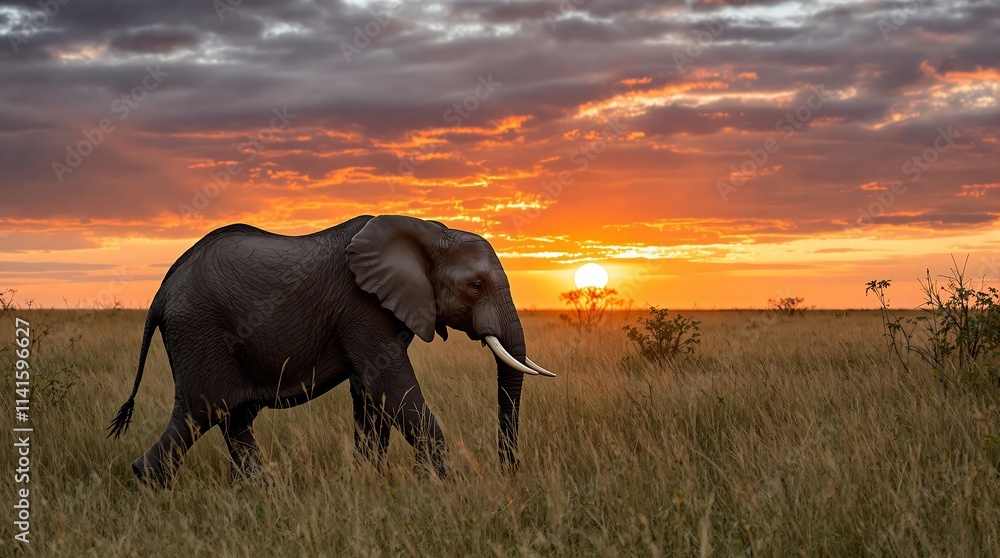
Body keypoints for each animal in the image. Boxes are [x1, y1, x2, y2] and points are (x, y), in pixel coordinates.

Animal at [107, 214, 554, 487]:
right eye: (476, 286)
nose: (508, 472)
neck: (426, 231)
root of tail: (161, 292)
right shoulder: (361, 307)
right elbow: (391, 386)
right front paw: (437, 483)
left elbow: (370, 394)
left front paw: (369, 481)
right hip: (200, 332)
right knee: (201, 412)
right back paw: (152, 484)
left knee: (233, 419)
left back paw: (261, 491)